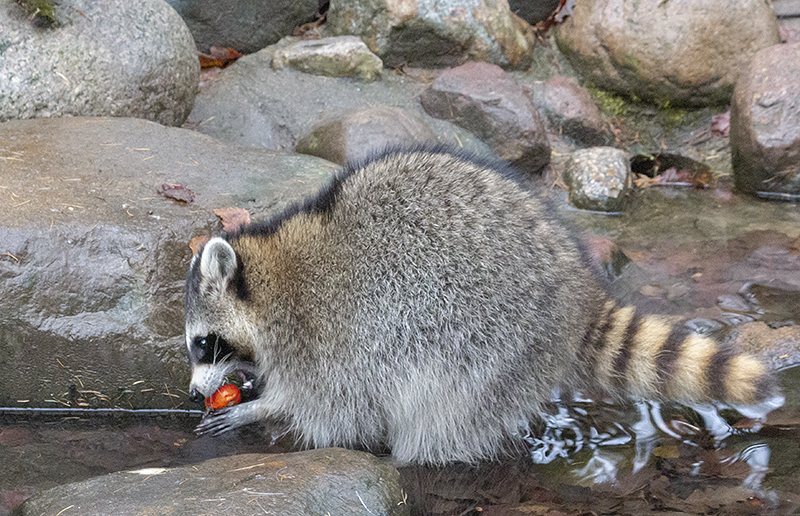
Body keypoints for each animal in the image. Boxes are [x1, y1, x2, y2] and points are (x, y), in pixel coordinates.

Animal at [184, 146, 784, 468]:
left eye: (203, 343)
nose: (191, 393)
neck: (268, 272)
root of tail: (578, 291)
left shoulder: (331, 336)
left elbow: (335, 410)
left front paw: (264, 408)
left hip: (485, 344)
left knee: (441, 415)